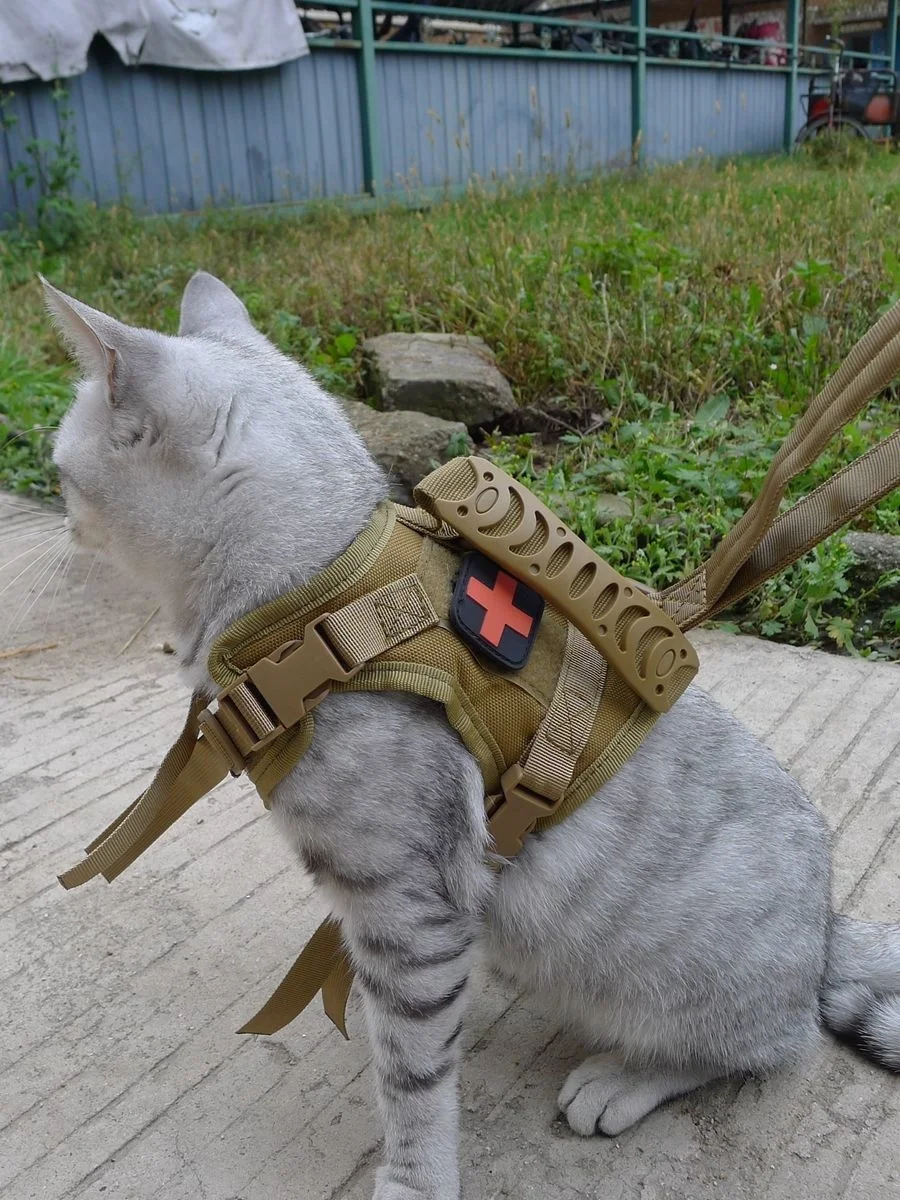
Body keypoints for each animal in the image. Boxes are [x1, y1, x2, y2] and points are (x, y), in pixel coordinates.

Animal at [42, 272, 900, 1200]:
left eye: (61, 471)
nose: (59, 517)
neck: (319, 604)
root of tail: (827, 926)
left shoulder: (408, 911)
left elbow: (412, 1076)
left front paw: (413, 1177)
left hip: (674, 983)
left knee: (767, 1045)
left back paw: (624, 1080)